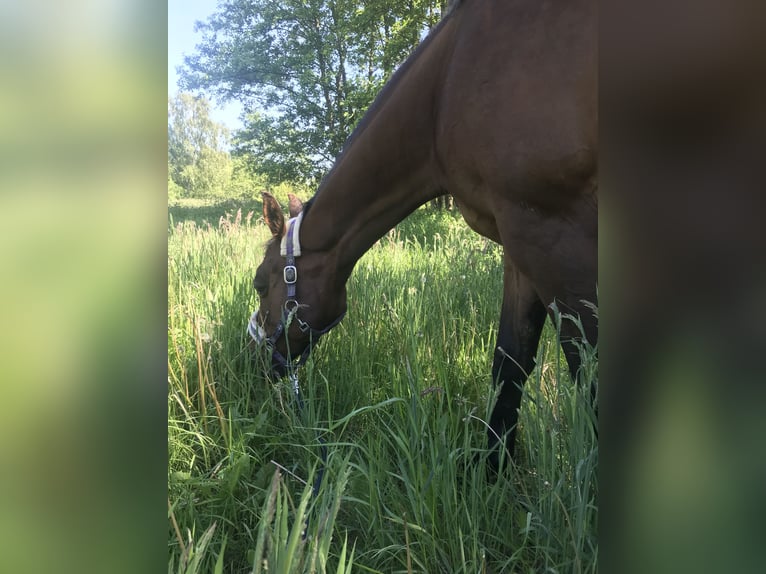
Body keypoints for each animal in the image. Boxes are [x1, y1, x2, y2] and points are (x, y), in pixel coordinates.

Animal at [249, 0, 596, 472]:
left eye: (259, 283)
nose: (262, 364)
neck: (446, 87)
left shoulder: (554, 235)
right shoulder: (520, 245)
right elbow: (510, 363)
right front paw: (491, 472)